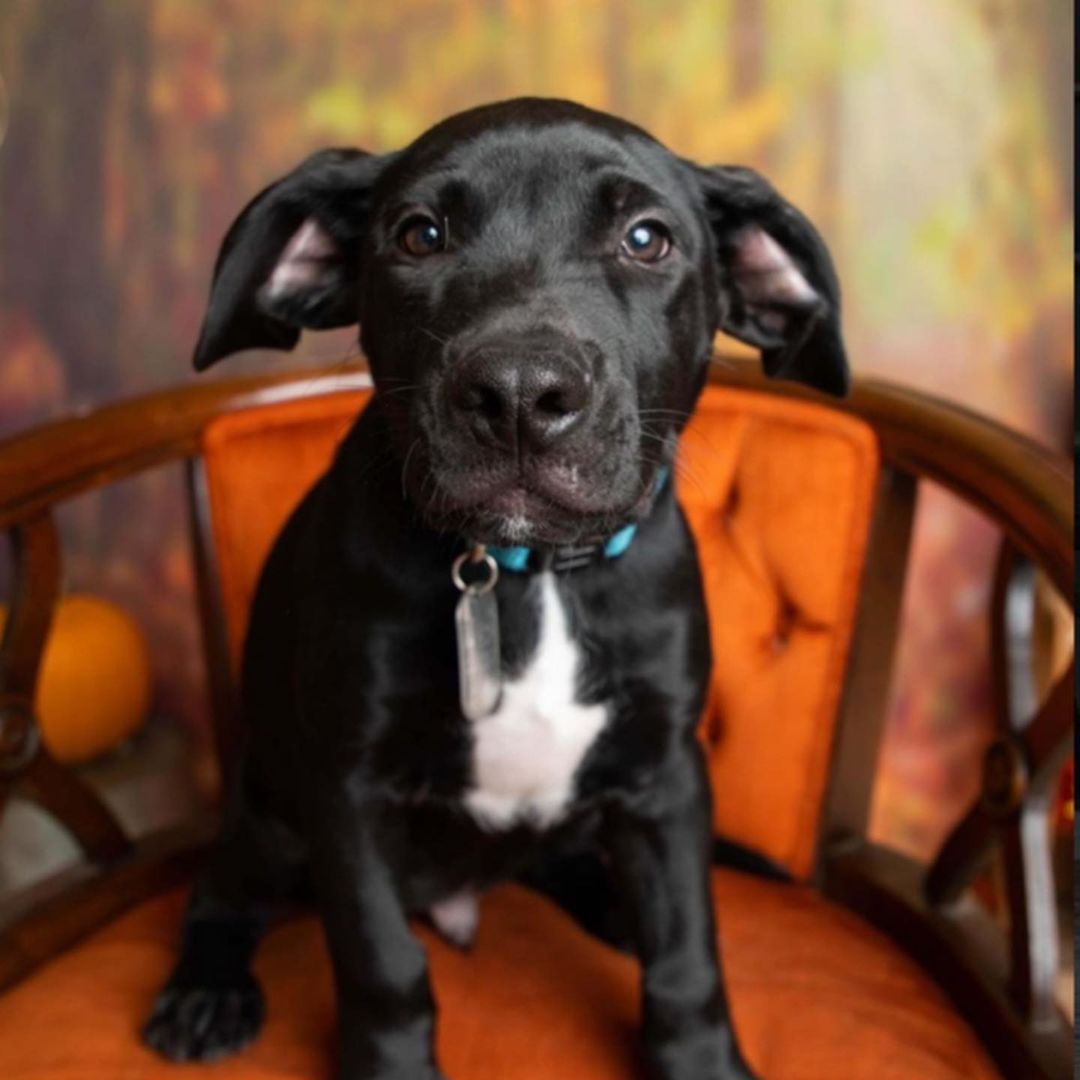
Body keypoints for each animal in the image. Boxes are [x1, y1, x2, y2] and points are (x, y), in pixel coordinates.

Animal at [143, 97, 846, 1075]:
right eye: (419, 235)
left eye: (646, 238)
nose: (518, 394)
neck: (524, 574)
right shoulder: (347, 791)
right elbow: (382, 964)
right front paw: (391, 1066)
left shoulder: (667, 773)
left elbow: (686, 958)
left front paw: (701, 1058)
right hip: (266, 806)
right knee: (223, 896)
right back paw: (206, 989)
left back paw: (611, 904)